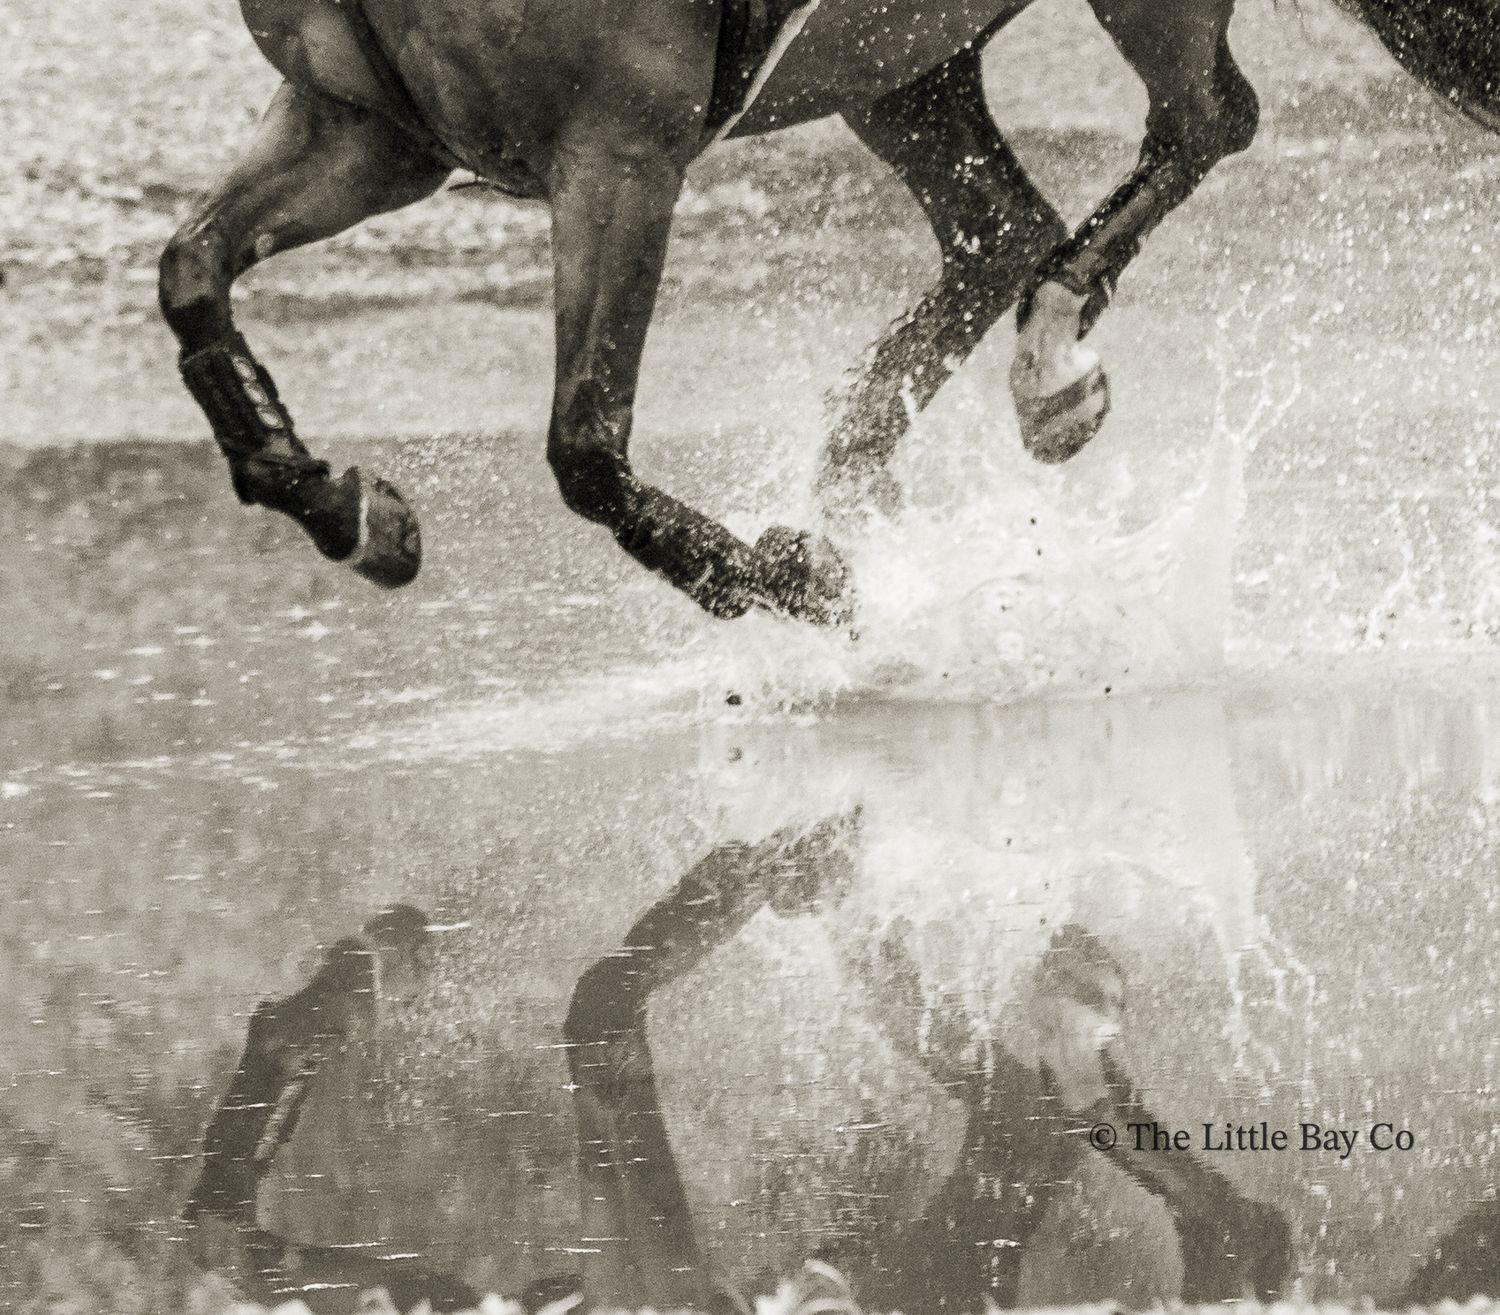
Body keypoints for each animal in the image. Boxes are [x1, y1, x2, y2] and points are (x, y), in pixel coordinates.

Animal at [158, 0, 1499, 626]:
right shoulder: (365, 133)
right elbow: (190, 274)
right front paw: (349, 509)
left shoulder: (621, 158)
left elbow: (586, 447)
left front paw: (794, 583)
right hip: (897, 60)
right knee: (1001, 230)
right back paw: (897, 448)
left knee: (1206, 121)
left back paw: (1045, 358)